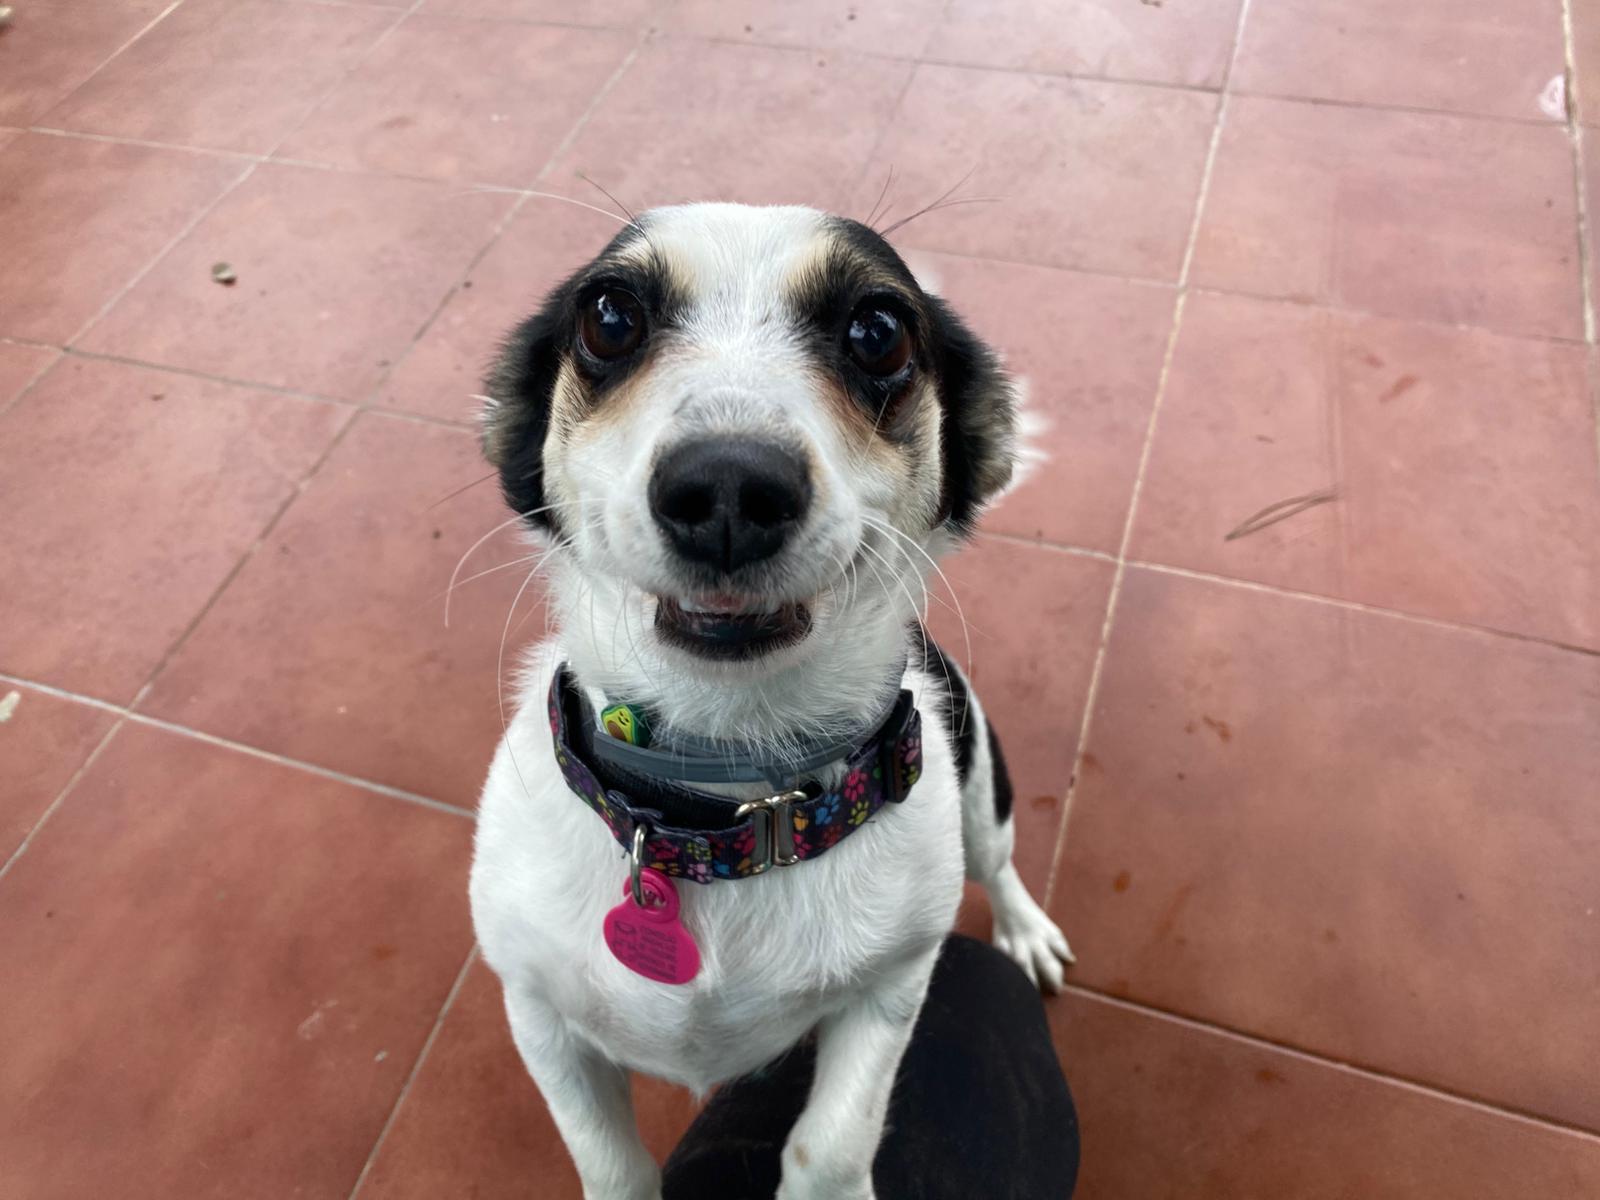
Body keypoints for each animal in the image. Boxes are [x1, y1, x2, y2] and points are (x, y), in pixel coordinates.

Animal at [469, 202, 1073, 1200]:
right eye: (609, 317)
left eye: (878, 331)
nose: (726, 486)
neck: (718, 801)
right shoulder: (536, 1013)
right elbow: (611, 1163)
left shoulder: (892, 988)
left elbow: (829, 1146)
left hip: (982, 785)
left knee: (1001, 864)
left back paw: (1026, 933)